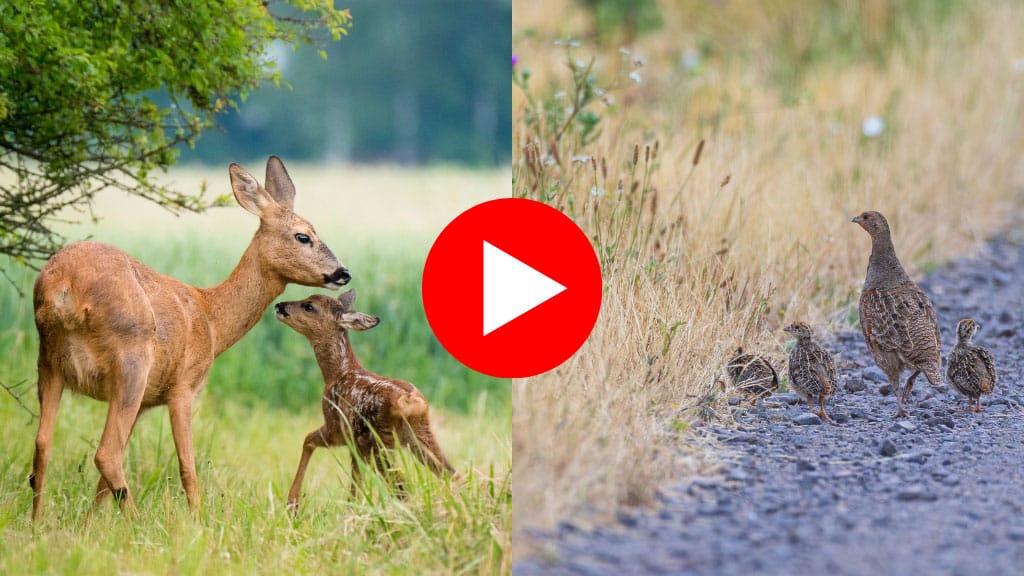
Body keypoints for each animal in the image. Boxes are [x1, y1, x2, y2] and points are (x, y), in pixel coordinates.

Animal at [29, 156, 351, 520]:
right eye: (303, 236)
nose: (343, 273)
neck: (211, 317)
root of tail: (65, 286)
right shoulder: (183, 386)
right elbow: (187, 466)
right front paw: (198, 521)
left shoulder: (146, 401)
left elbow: (102, 484)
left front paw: (90, 525)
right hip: (130, 360)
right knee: (106, 454)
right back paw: (136, 522)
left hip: (50, 361)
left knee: (44, 444)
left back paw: (36, 523)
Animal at [273, 289, 454, 511]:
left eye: (309, 306)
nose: (280, 306)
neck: (337, 373)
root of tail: (409, 401)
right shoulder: (352, 443)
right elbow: (355, 481)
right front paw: (350, 510)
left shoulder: (336, 426)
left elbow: (308, 439)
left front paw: (292, 503)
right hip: (420, 435)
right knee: (450, 474)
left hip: (376, 440)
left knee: (401, 488)